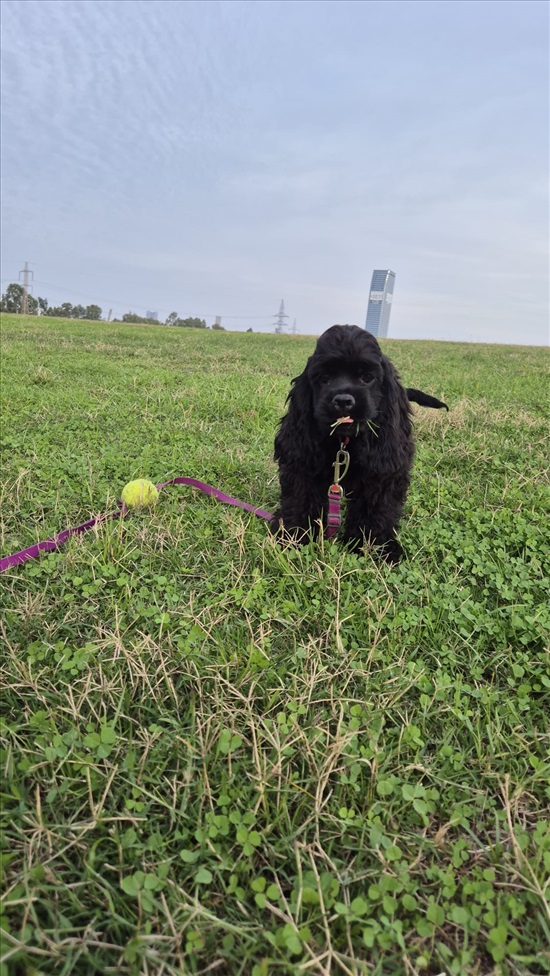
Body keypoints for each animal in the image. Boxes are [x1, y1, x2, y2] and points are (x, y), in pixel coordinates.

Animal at [272, 322, 448, 564]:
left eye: (367, 377)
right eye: (324, 378)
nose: (343, 401)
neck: (344, 442)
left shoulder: (382, 470)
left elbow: (377, 508)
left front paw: (378, 547)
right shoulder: (303, 459)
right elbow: (300, 497)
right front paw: (294, 535)